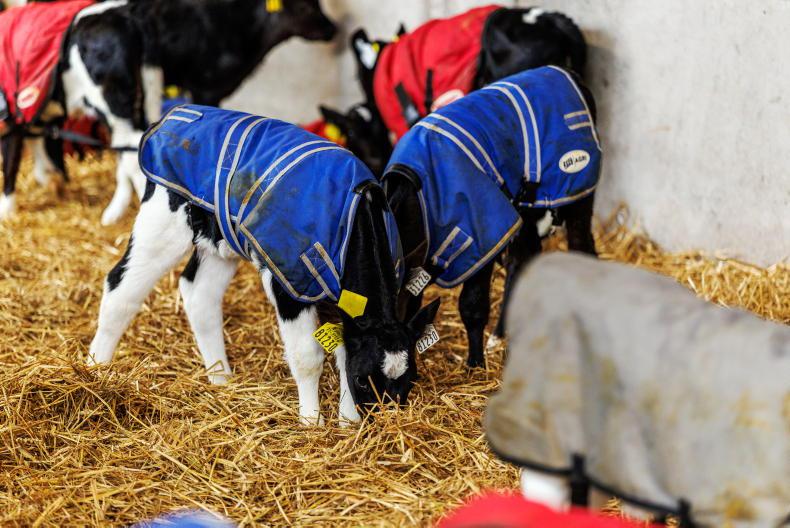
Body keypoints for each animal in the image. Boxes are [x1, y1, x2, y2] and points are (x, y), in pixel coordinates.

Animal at [0, 0, 337, 224]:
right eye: (307, 6)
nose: (334, 29)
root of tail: (127, 14)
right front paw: (47, 180)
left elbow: (11, 160)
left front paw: (7, 211)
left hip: (115, 100)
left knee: (131, 154)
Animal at [88, 105, 439, 426]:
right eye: (363, 381)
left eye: (409, 380)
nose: (384, 421)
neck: (352, 217)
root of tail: (176, 115)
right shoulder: (292, 286)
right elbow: (308, 356)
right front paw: (311, 422)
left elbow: (343, 352)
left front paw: (347, 421)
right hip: (163, 223)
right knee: (121, 290)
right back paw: (96, 370)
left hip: (221, 245)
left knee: (199, 295)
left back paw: (220, 378)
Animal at [382, 66, 601, 369]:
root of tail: (565, 72)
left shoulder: (484, 234)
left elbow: (472, 306)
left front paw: (475, 364)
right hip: (526, 207)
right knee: (524, 259)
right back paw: (502, 334)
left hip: (578, 187)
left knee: (582, 246)